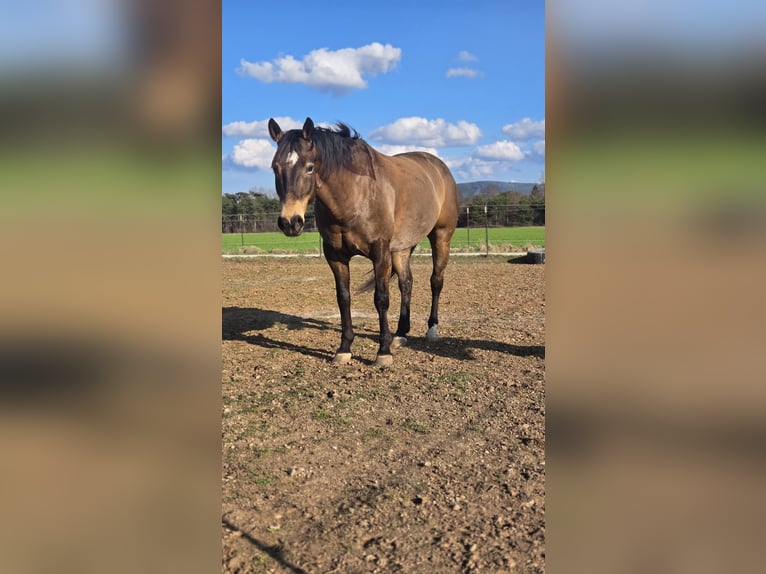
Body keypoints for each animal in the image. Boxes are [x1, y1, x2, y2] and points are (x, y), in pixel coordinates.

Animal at [268, 117, 458, 366]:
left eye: (309, 167)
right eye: (275, 167)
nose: (290, 222)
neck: (354, 193)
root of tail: (440, 167)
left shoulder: (380, 252)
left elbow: (381, 299)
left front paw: (383, 352)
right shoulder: (335, 255)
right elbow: (343, 298)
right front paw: (344, 348)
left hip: (441, 237)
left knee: (436, 281)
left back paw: (431, 329)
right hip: (401, 248)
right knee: (406, 283)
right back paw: (400, 333)